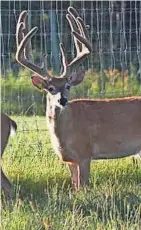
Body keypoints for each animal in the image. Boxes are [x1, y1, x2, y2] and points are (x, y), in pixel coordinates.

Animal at [15, 6, 141, 190]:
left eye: (68, 86)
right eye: (50, 88)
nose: (62, 100)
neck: (63, 136)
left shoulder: (85, 153)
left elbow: (84, 187)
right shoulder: (70, 160)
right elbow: (75, 187)